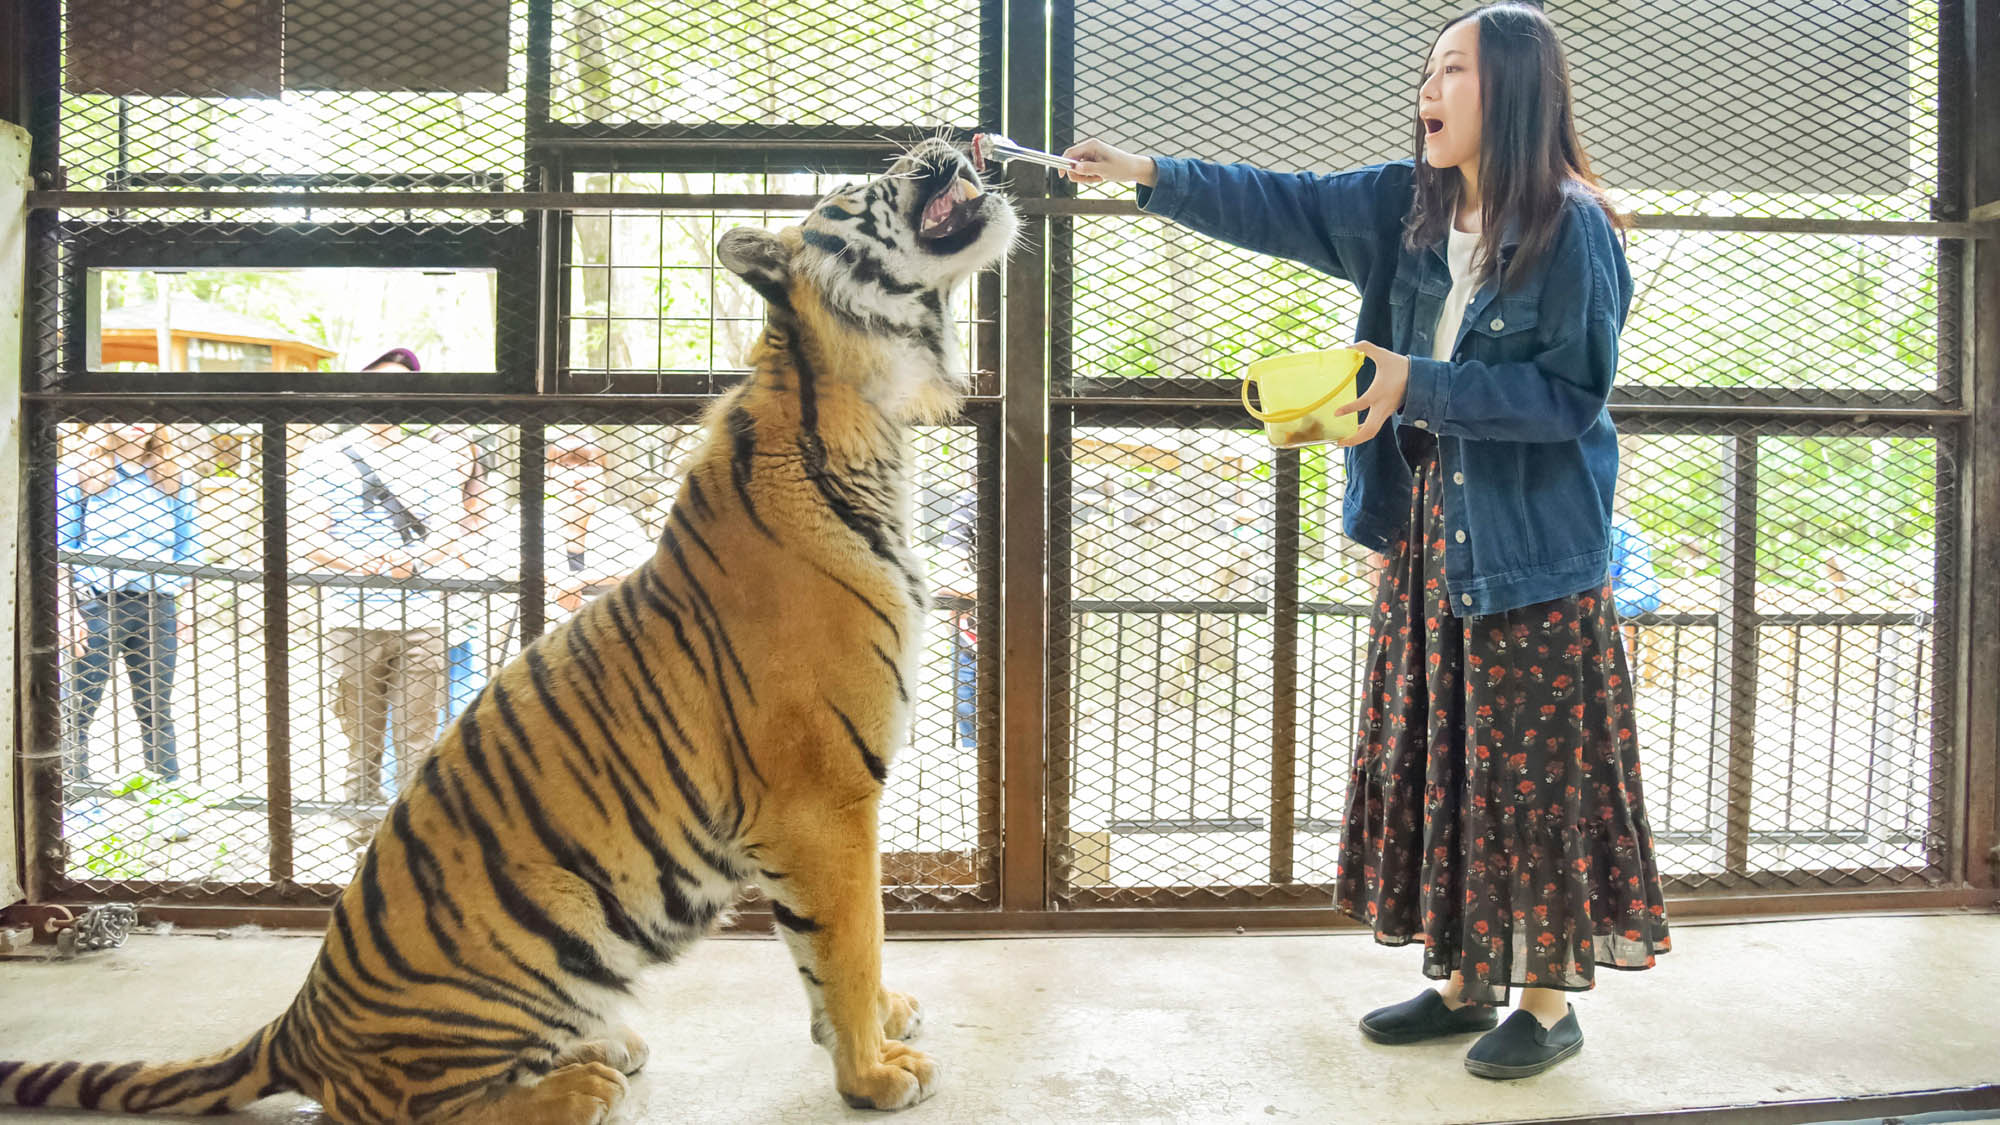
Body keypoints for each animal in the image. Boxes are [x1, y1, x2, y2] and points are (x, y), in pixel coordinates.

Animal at [3, 140, 1016, 1120]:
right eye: (868, 182)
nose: (950, 138)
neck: (860, 402)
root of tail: (299, 1024)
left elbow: (829, 953)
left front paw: (875, 1026)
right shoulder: (825, 797)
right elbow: (849, 939)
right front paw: (873, 1073)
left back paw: (599, 1048)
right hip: (541, 930)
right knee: (403, 1106)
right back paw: (579, 1085)